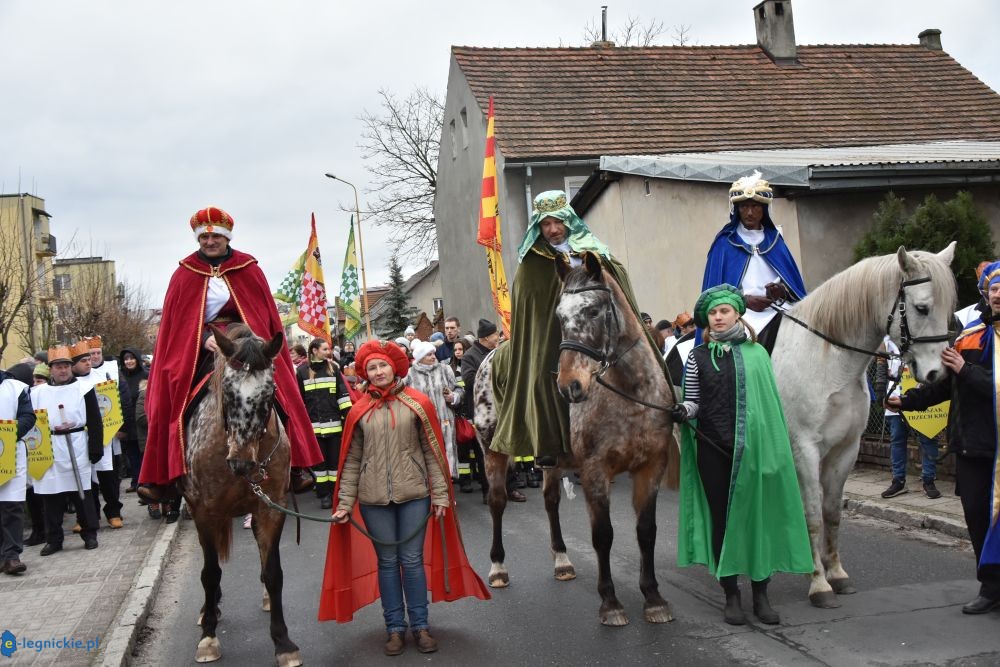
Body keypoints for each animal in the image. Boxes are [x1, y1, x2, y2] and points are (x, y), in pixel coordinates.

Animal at [182, 326, 300, 664]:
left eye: (269, 393)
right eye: (227, 391)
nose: (241, 463)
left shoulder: (271, 508)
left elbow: (273, 572)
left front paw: (283, 642)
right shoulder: (204, 512)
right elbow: (210, 574)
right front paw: (208, 637)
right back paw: (208, 610)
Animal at [474, 252, 680, 628]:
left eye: (595, 311)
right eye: (558, 316)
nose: (569, 384)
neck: (630, 395)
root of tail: (490, 355)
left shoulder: (651, 466)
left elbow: (646, 531)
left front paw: (654, 598)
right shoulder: (595, 471)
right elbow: (603, 535)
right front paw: (610, 602)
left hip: (552, 461)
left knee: (550, 500)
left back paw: (562, 561)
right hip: (492, 451)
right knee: (497, 502)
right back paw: (497, 568)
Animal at [768, 243, 956, 608]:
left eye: (950, 309)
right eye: (922, 307)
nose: (937, 374)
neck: (828, 359)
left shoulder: (846, 450)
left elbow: (831, 512)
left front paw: (836, 574)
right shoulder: (804, 450)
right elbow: (812, 514)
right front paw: (818, 583)